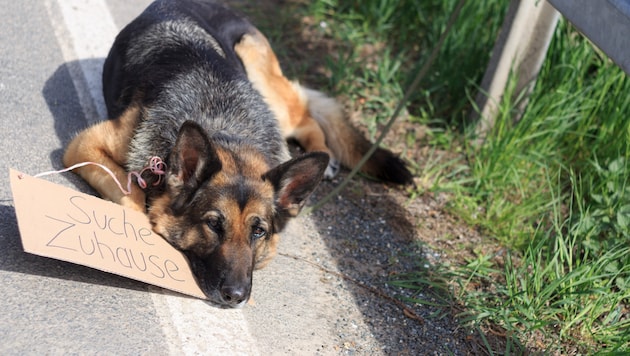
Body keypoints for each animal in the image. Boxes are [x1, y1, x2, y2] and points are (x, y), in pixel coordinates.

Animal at [61, 0, 412, 306]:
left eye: (259, 232)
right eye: (214, 225)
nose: (236, 296)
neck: (225, 129)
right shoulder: (84, 145)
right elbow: (131, 195)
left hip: (266, 86)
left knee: (305, 113)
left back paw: (324, 155)